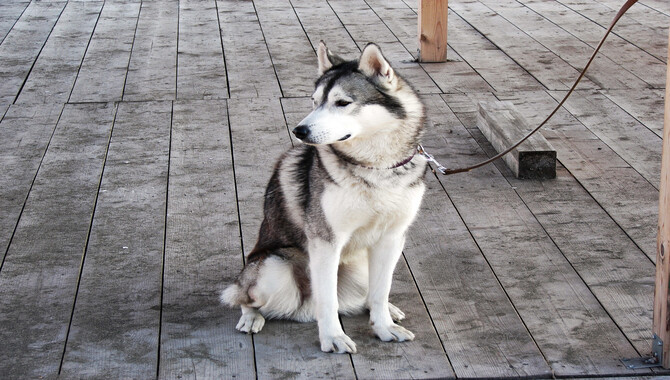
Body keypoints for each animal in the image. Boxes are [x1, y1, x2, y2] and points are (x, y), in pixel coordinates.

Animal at [223, 41, 428, 354]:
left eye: (342, 102)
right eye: (314, 100)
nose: (299, 130)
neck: (374, 169)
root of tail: (304, 308)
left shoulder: (392, 238)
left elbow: (381, 291)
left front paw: (384, 326)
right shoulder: (326, 242)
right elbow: (328, 300)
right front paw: (333, 337)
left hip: (359, 268)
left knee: (367, 293)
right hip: (273, 268)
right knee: (244, 297)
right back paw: (250, 317)